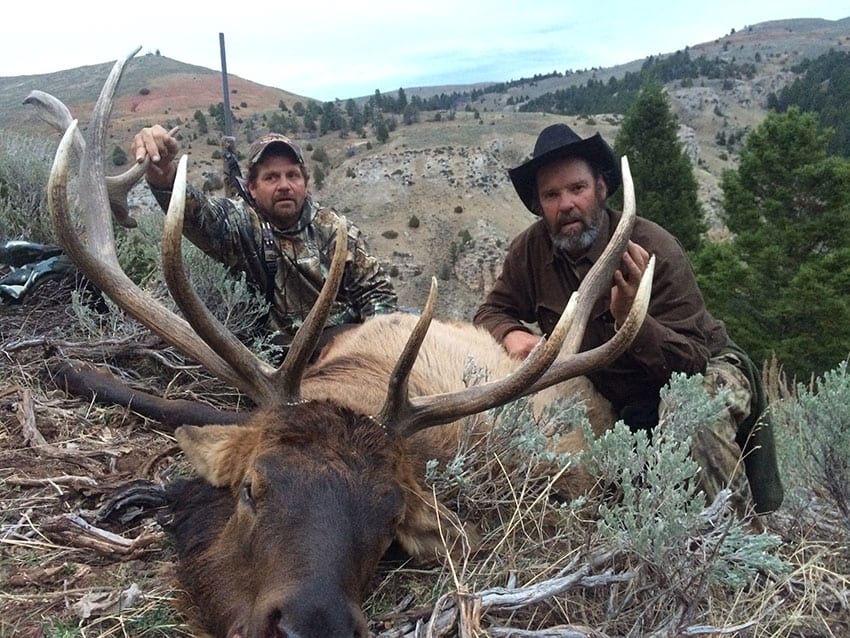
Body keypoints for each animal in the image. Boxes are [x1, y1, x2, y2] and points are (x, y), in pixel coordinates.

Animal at [44, 47, 653, 638]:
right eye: (251, 487)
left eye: (389, 525)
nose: (313, 624)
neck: (358, 381)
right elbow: (159, 402)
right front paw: (68, 368)